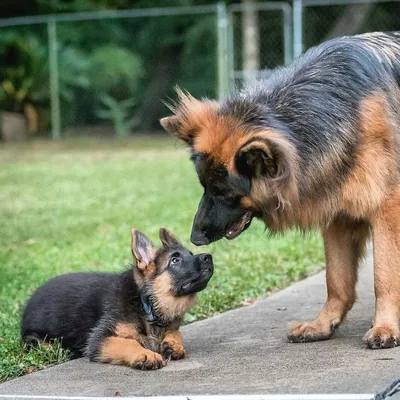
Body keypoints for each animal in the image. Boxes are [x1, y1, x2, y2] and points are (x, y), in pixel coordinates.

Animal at [20, 228, 214, 368]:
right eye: (175, 261)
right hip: (36, 339)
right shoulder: (100, 339)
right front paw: (145, 354)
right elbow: (128, 343)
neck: (146, 302)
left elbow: (176, 332)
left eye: (190, 254)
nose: (208, 257)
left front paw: (174, 344)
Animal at [161, 32, 400, 348]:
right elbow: (336, 280)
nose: (195, 238)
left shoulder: (387, 209)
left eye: (225, 193)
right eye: (205, 187)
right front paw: (323, 324)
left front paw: (385, 327)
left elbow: (384, 275)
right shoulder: (337, 213)